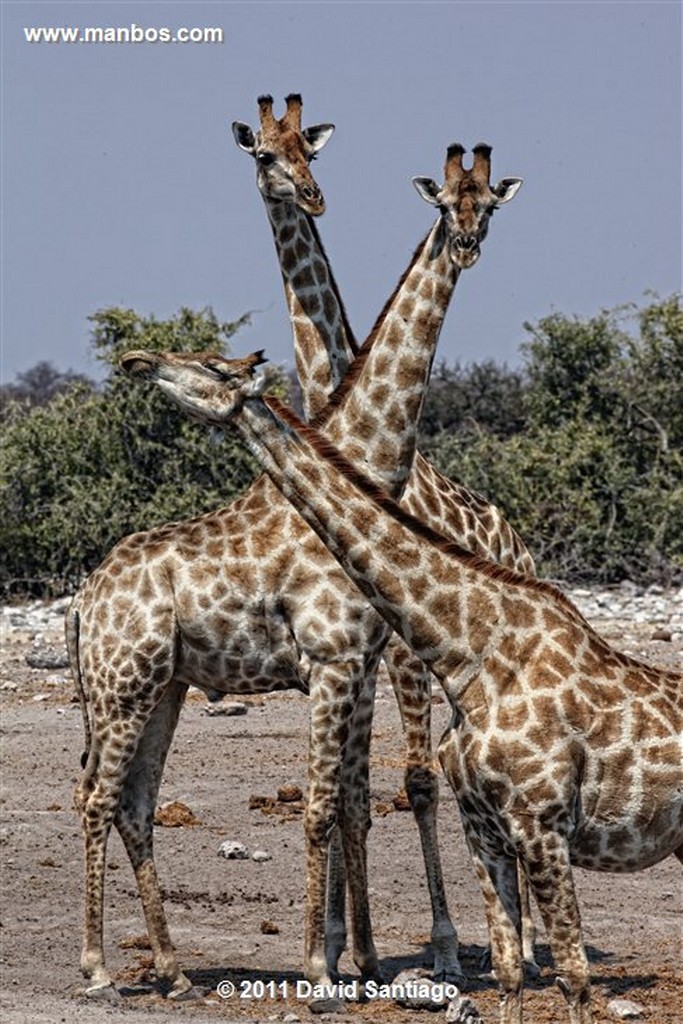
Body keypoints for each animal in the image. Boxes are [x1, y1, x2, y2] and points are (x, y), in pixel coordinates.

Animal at [122, 344, 683, 1024]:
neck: (469, 655)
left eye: (213, 366)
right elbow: (509, 972)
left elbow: (574, 975)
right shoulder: (484, 829)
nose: (137, 358)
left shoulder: (541, 824)